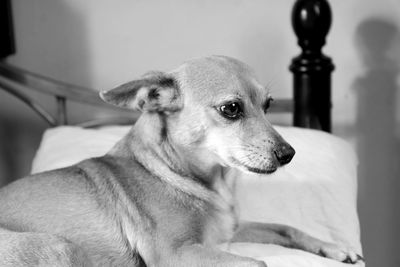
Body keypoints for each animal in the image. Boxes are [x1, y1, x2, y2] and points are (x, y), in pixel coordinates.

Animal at [0, 55, 362, 266]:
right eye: (231, 108)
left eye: (268, 104)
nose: (289, 154)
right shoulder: (177, 254)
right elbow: (259, 263)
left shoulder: (227, 231)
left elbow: (286, 227)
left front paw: (334, 247)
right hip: (61, 247)